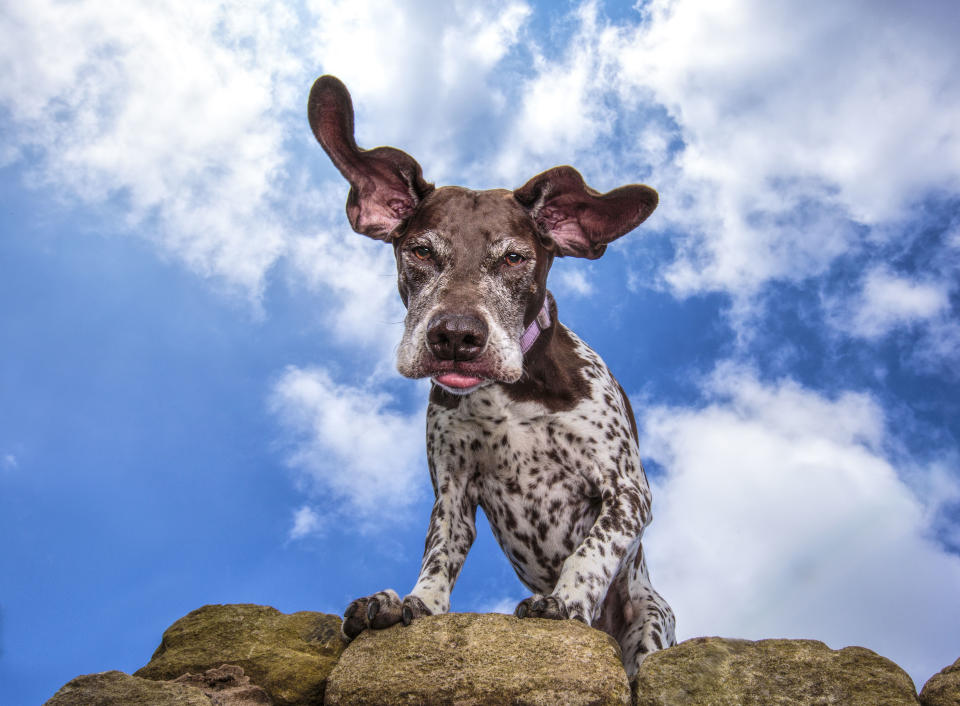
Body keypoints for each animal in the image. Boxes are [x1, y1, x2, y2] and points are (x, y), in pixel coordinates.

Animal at [308, 74, 676, 672]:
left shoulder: (627, 491)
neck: (509, 396)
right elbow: (439, 557)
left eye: (514, 258)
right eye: (420, 251)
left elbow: (593, 549)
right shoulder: (453, 493)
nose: (456, 338)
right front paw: (414, 603)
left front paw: (565, 600)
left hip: (653, 616)